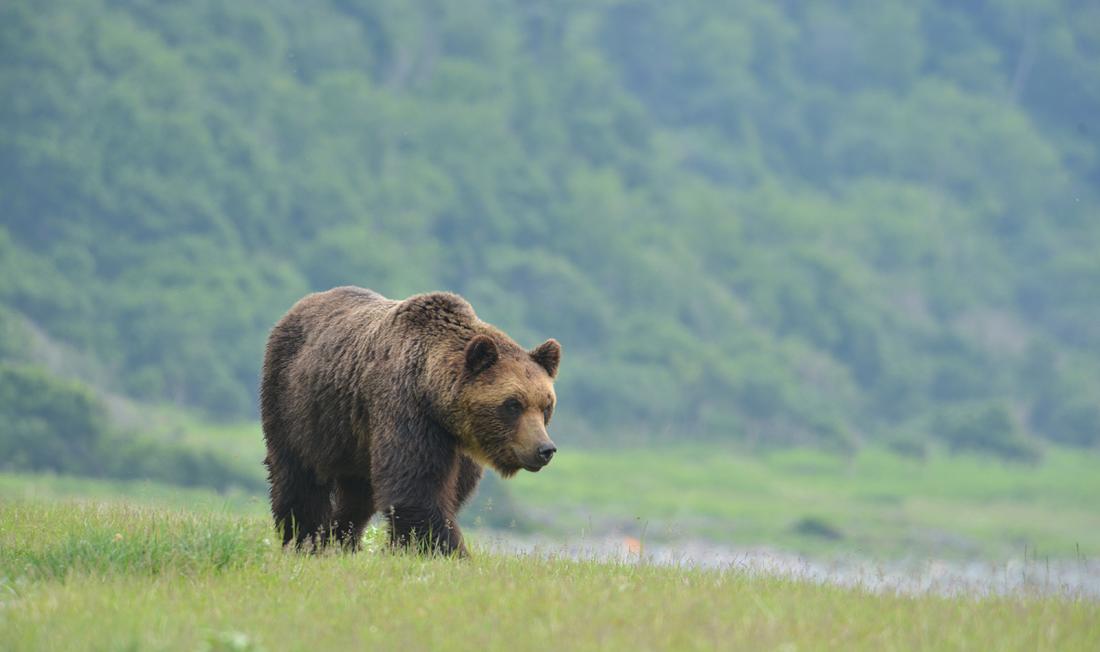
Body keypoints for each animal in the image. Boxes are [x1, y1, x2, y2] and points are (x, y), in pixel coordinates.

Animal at [261, 285, 563, 554]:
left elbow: (451, 492)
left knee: (358, 494)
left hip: (354, 438)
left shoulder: (458, 444)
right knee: (298, 476)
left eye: (546, 406)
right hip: (297, 407)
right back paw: (305, 539)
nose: (544, 449)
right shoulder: (406, 410)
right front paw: (447, 551)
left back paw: (340, 540)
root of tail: (297, 307)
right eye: (512, 404)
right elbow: (417, 488)